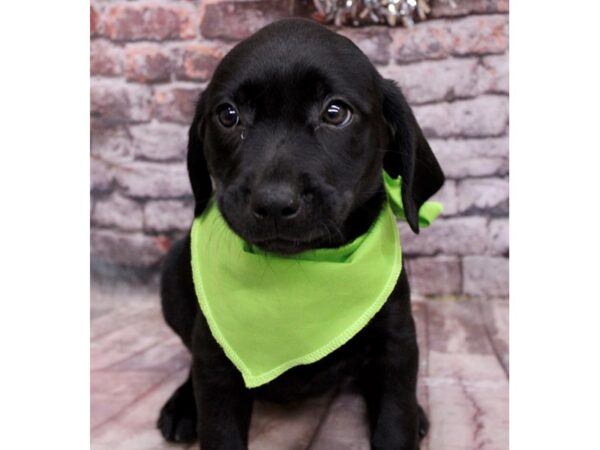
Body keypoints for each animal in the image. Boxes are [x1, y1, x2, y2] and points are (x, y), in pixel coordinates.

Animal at [157, 17, 442, 450]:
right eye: (228, 115)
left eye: (335, 112)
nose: (274, 202)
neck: (305, 269)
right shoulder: (215, 360)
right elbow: (218, 425)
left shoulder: (397, 342)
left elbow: (395, 421)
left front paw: (406, 420)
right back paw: (182, 406)